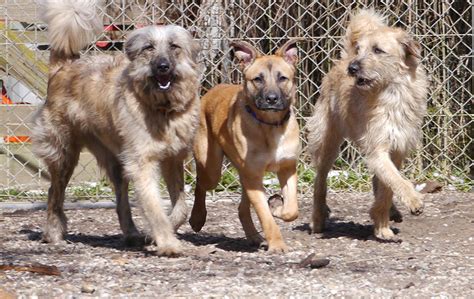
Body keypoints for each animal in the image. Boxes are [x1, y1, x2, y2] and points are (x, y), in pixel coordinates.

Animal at [32, 0, 200, 258]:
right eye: (149, 48)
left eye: (174, 46)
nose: (162, 66)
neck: (162, 109)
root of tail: (62, 68)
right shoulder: (142, 164)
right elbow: (155, 208)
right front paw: (167, 243)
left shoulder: (173, 159)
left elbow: (181, 207)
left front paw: (155, 235)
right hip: (64, 155)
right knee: (54, 192)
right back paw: (53, 234)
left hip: (117, 163)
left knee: (121, 202)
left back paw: (131, 234)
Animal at [189, 39, 300, 253]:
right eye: (258, 79)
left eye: (282, 78)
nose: (271, 98)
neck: (270, 126)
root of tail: (211, 92)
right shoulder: (253, 176)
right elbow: (265, 217)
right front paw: (277, 244)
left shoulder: (287, 168)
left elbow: (292, 210)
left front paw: (277, 207)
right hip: (213, 169)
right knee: (200, 183)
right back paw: (197, 218)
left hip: (244, 174)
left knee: (242, 209)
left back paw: (254, 236)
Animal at [308, 8, 430, 241]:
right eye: (360, 50)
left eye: (378, 50)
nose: (352, 68)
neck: (391, 94)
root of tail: (344, 58)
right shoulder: (377, 149)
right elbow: (396, 180)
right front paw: (412, 200)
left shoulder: (397, 149)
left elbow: (388, 186)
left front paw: (382, 224)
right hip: (328, 143)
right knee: (320, 181)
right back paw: (317, 219)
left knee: (378, 180)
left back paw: (392, 211)